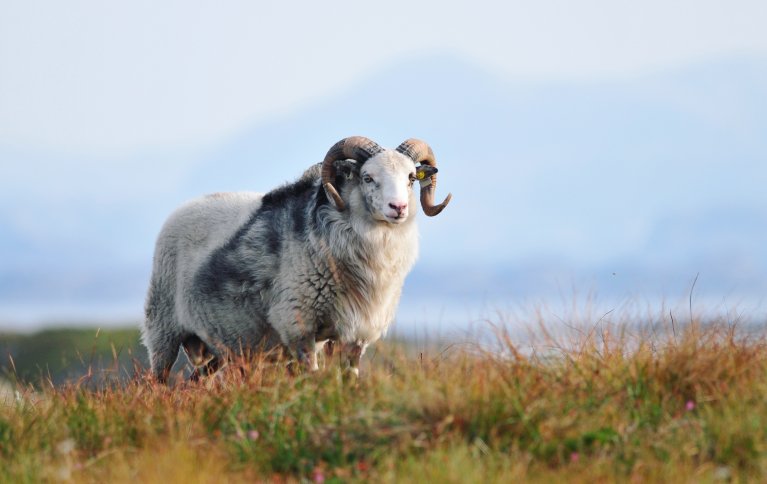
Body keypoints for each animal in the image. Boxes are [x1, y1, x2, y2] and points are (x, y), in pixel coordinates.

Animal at [140, 136, 450, 382]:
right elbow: (310, 376)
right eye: (367, 177)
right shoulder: (298, 325)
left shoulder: (355, 333)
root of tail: (184, 207)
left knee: (195, 380)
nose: (398, 208)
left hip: (221, 345)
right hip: (162, 330)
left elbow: (349, 379)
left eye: (411, 178)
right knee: (158, 380)